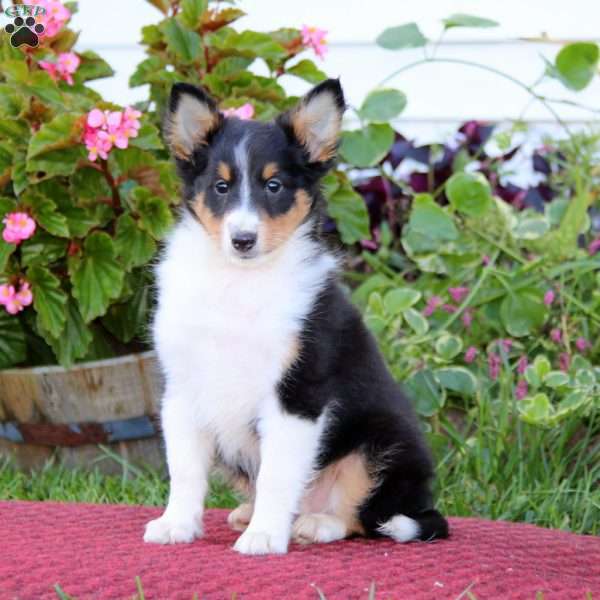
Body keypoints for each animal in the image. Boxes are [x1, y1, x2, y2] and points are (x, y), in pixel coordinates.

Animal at [143, 78, 448, 552]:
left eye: (274, 186)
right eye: (220, 187)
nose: (243, 240)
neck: (240, 280)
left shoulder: (298, 393)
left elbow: (277, 475)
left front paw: (265, 537)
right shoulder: (182, 387)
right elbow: (185, 470)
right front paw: (176, 524)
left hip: (381, 443)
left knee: (368, 515)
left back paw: (315, 523)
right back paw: (250, 513)